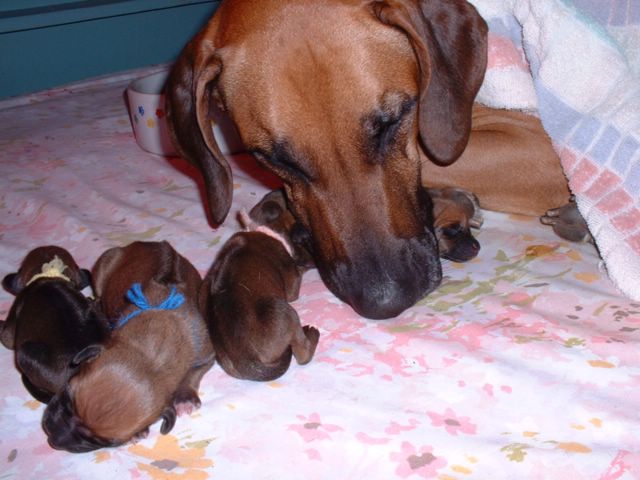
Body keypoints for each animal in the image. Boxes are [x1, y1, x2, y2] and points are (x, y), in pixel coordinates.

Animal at [42, 241, 214, 453]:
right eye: (67, 395)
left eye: (104, 443)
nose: (53, 439)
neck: (153, 352)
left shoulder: (206, 354)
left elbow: (193, 373)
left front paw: (184, 397)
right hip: (104, 266)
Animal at [199, 195, 319, 381]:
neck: (267, 230)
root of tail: (247, 360)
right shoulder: (292, 285)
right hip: (284, 310)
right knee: (303, 354)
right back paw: (311, 335)